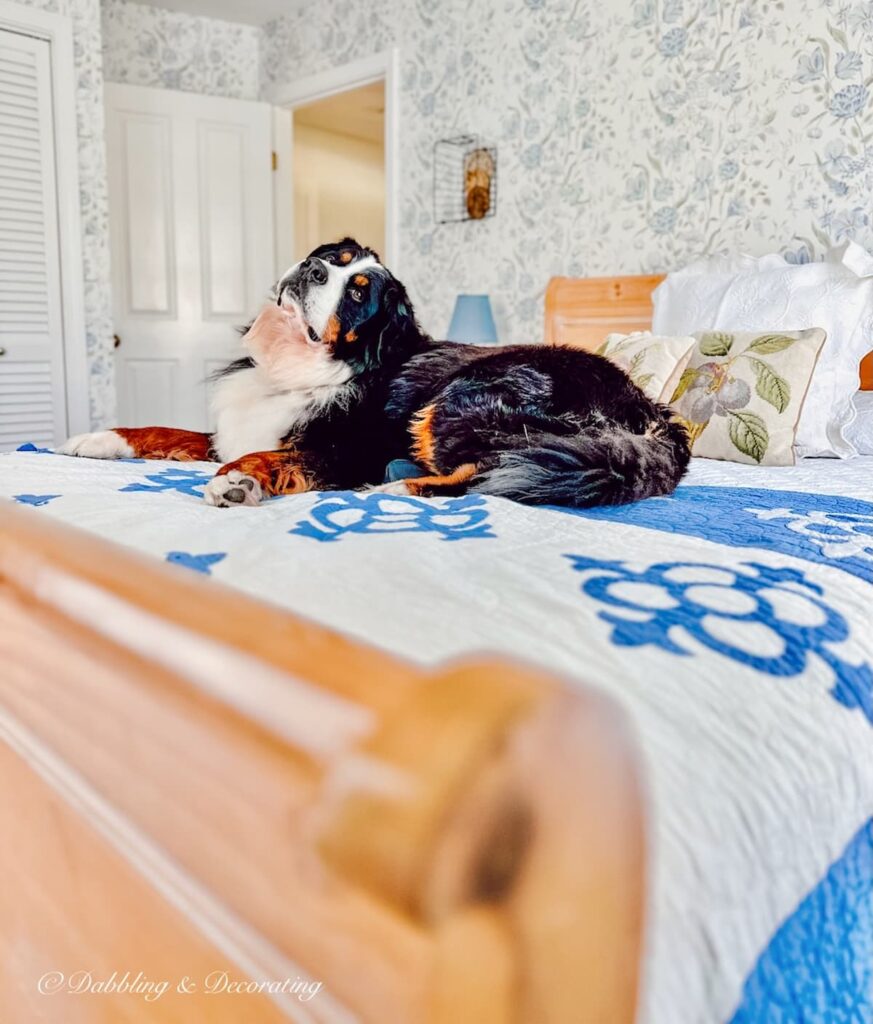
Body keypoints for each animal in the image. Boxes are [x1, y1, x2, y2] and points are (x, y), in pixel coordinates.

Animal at [59, 236, 687, 507]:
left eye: (358, 292)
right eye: (331, 259)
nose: (310, 268)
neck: (299, 365)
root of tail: (650, 410)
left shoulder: (346, 448)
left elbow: (272, 457)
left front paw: (238, 482)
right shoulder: (234, 425)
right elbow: (164, 429)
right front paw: (98, 439)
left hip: (463, 398)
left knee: (491, 473)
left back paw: (398, 485)